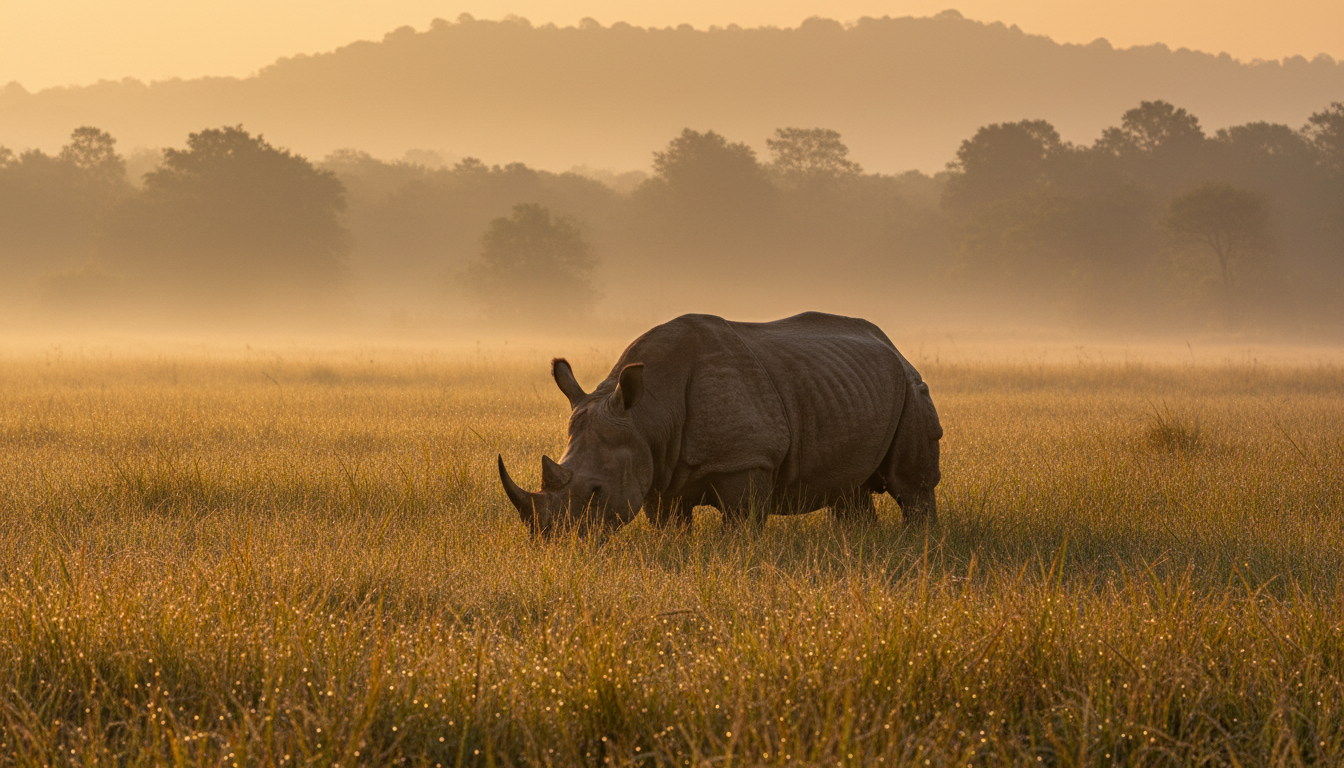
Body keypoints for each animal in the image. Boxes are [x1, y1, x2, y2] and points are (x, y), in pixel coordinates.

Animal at [498, 312, 942, 535]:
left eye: (595, 492)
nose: (553, 543)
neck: (647, 414)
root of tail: (892, 345)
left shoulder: (748, 460)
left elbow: (742, 524)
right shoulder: (656, 466)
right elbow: (669, 526)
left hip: (911, 386)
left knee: (911, 486)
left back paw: (919, 541)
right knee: (850, 490)